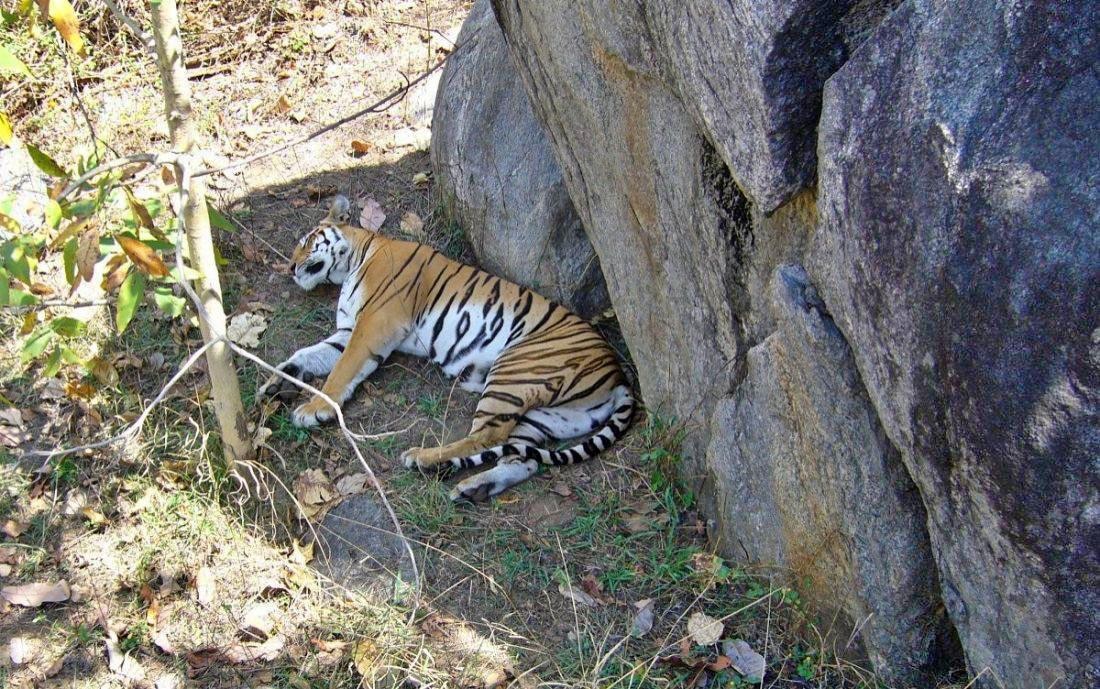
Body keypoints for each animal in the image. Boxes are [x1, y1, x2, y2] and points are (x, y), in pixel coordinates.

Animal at [258, 195, 635, 501]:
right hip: (544, 417)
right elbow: (307, 356)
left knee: (487, 436)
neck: (354, 261)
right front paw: (275, 384)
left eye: (306, 242)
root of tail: (618, 374)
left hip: (515, 369)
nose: (289, 267)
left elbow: (341, 371)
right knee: (520, 457)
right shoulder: (348, 330)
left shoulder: (373, 324)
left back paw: (423, 459)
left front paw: (314, 409)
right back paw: (474, 487)